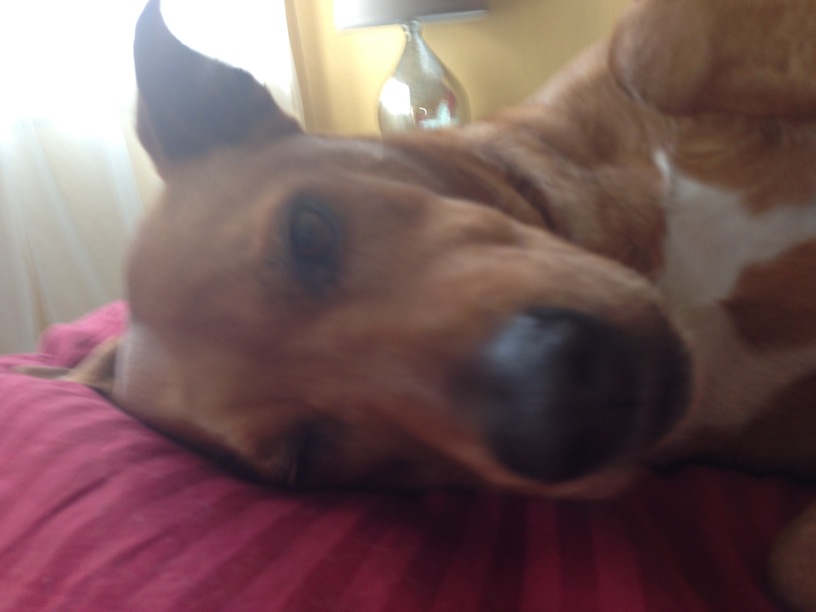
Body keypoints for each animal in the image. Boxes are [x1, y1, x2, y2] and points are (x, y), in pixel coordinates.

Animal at [40, 0, 816, 607]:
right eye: (306, 460)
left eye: (308, 232)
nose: (563, 404)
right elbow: (788, 563)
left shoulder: (657, 50)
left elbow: (651, 51)